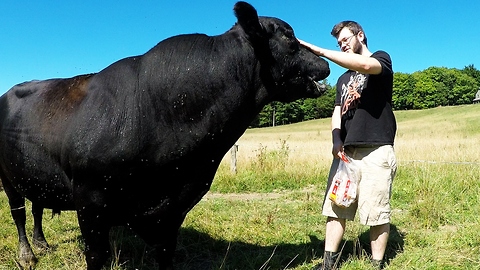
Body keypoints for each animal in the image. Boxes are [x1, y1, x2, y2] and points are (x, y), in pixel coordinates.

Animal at [0, 2, 330, 270]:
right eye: (288, 36)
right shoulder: (90, 203)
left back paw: (42, 243)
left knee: (37, 205)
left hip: (33, 171)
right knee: (19, 212)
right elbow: (96, 256)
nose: (325, 62)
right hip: (7, 176)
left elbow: (164, 254)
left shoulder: (172, 212)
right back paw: (27, 254)